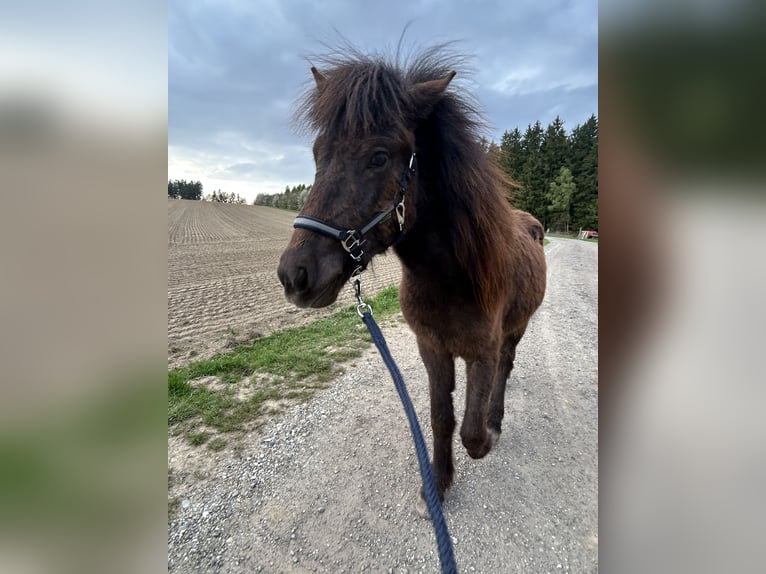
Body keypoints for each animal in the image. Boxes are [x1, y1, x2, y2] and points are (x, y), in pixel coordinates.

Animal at [277, 46, 547, 512]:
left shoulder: (482, 351)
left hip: (518, 328)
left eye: (379, 156)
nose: (294, 275)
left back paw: (496, 416)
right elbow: (441, 418)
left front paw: (487, 436)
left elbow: (472, 433)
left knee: (506, 368)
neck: (450, 279)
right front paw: (438, 481)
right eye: (317, 153)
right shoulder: (432, 348)